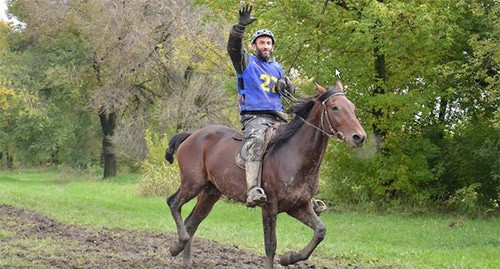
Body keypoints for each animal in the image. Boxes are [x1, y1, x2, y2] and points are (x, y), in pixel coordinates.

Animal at [166, 80, 366, 266]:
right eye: (335, 107)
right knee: (173, 203)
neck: (294, 156)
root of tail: (192, 135)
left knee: (191, 222)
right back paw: (176, 246)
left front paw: (288, 258)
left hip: (209, 192)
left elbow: (320, 231)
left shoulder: (299, 206)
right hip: (192, 183)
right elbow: (271, 246)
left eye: (352, 107)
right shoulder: (270, 207)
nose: (359, 137)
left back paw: (185, 259)